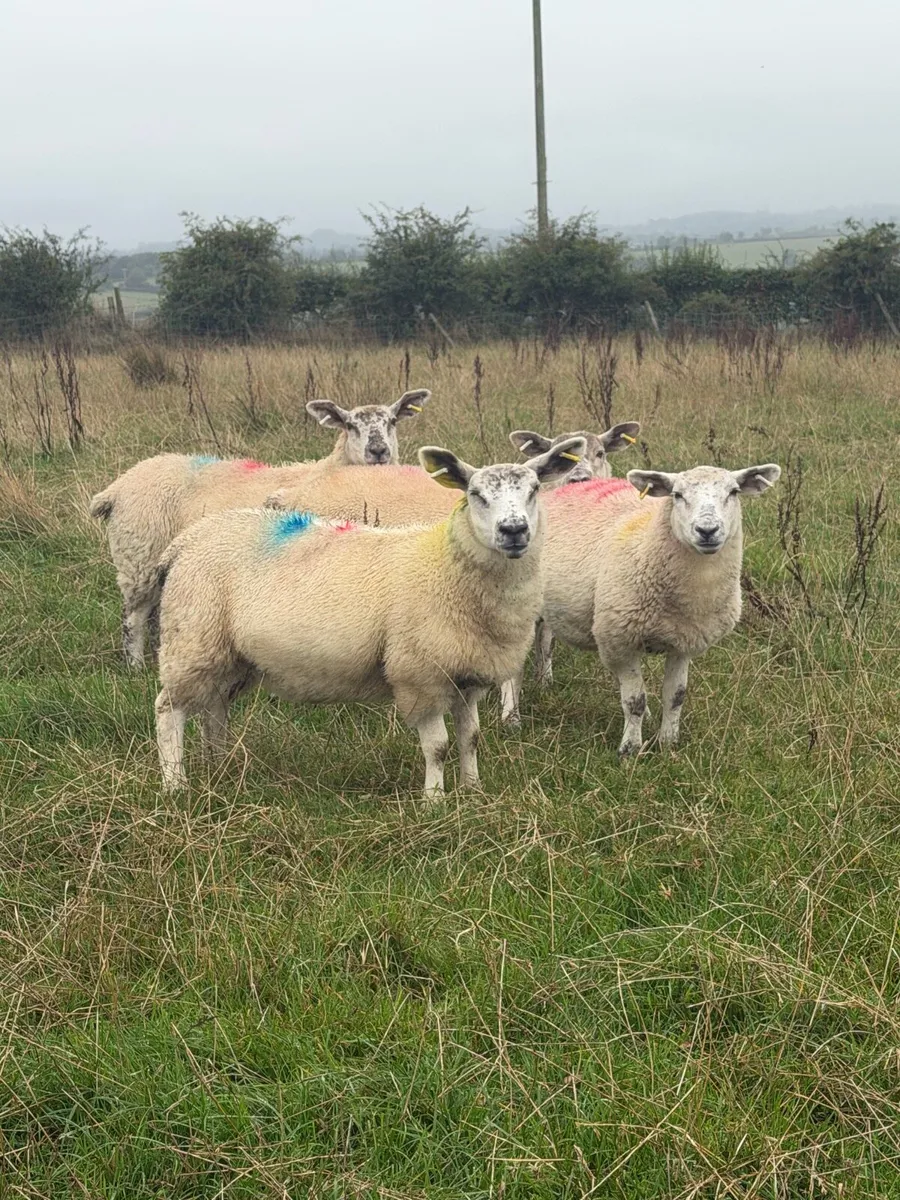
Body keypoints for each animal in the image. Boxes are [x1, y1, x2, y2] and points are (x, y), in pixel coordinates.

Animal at [89, 389, 430, 667]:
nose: (378, 451)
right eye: (350, 425)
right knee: (133, 617)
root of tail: (117, 487)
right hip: (139, 558)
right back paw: (136, 667)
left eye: (392, 421)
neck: (330, 468)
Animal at [153, 437, 587, 797]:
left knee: (214, 710)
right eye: (476, 495)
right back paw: (176, 784)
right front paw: (435, 802)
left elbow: (471, 738)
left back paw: (220, 765)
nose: (514, 530)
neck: (445, 567)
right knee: (168, 710)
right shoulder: (420, 674)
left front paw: (474, 791)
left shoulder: (466, 674)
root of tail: (186, 540)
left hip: (228, 654)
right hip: (193, 638)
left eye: (534, 490)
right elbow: (438, 747)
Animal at [499, 463, 781, 752]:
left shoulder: (684, 643)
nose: (707, 530)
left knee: (545, 641)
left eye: (734, 492)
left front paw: (668, 743)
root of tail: (554, 491)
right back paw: (511, 717)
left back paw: (544, 683)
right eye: (677, 495)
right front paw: (631, 748)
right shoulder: (620, 640)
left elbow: (676, 697)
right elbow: (635, 700)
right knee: (513, 664)